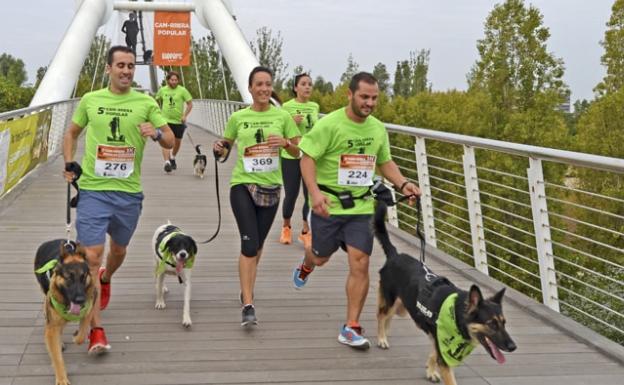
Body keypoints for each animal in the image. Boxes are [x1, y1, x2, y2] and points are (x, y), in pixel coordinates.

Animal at [33, 238, 95, 382]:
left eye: (83, 277)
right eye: (68, 278)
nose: (80, 300)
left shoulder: (89, 309)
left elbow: (82, 333)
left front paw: (77, 337)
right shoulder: (52, 328)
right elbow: (57, 358)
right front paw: (61, 380)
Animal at [372, 202, 516, 382]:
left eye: (504, 323)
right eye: (491, 324)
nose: (513, 347)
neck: (457, 313)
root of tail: (395, 255)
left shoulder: (439, 339)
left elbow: (434, 353)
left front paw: (430, 371)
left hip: (401, 307)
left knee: (387, 316)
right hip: (392, 301)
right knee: (381, 314)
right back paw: (381, 338)